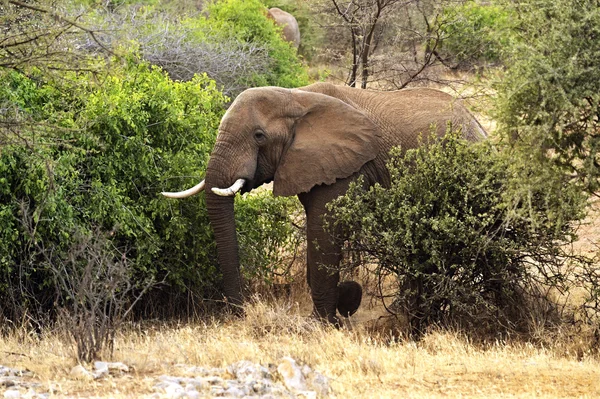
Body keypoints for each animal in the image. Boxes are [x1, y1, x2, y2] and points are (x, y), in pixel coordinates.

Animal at [162, 83, 486, 326]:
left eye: (259, 136)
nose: (239, 314)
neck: (296, 97)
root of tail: (478, 125)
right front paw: (345, 301)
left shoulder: (347, 165)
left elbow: (325, 229)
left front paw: (322, 322)